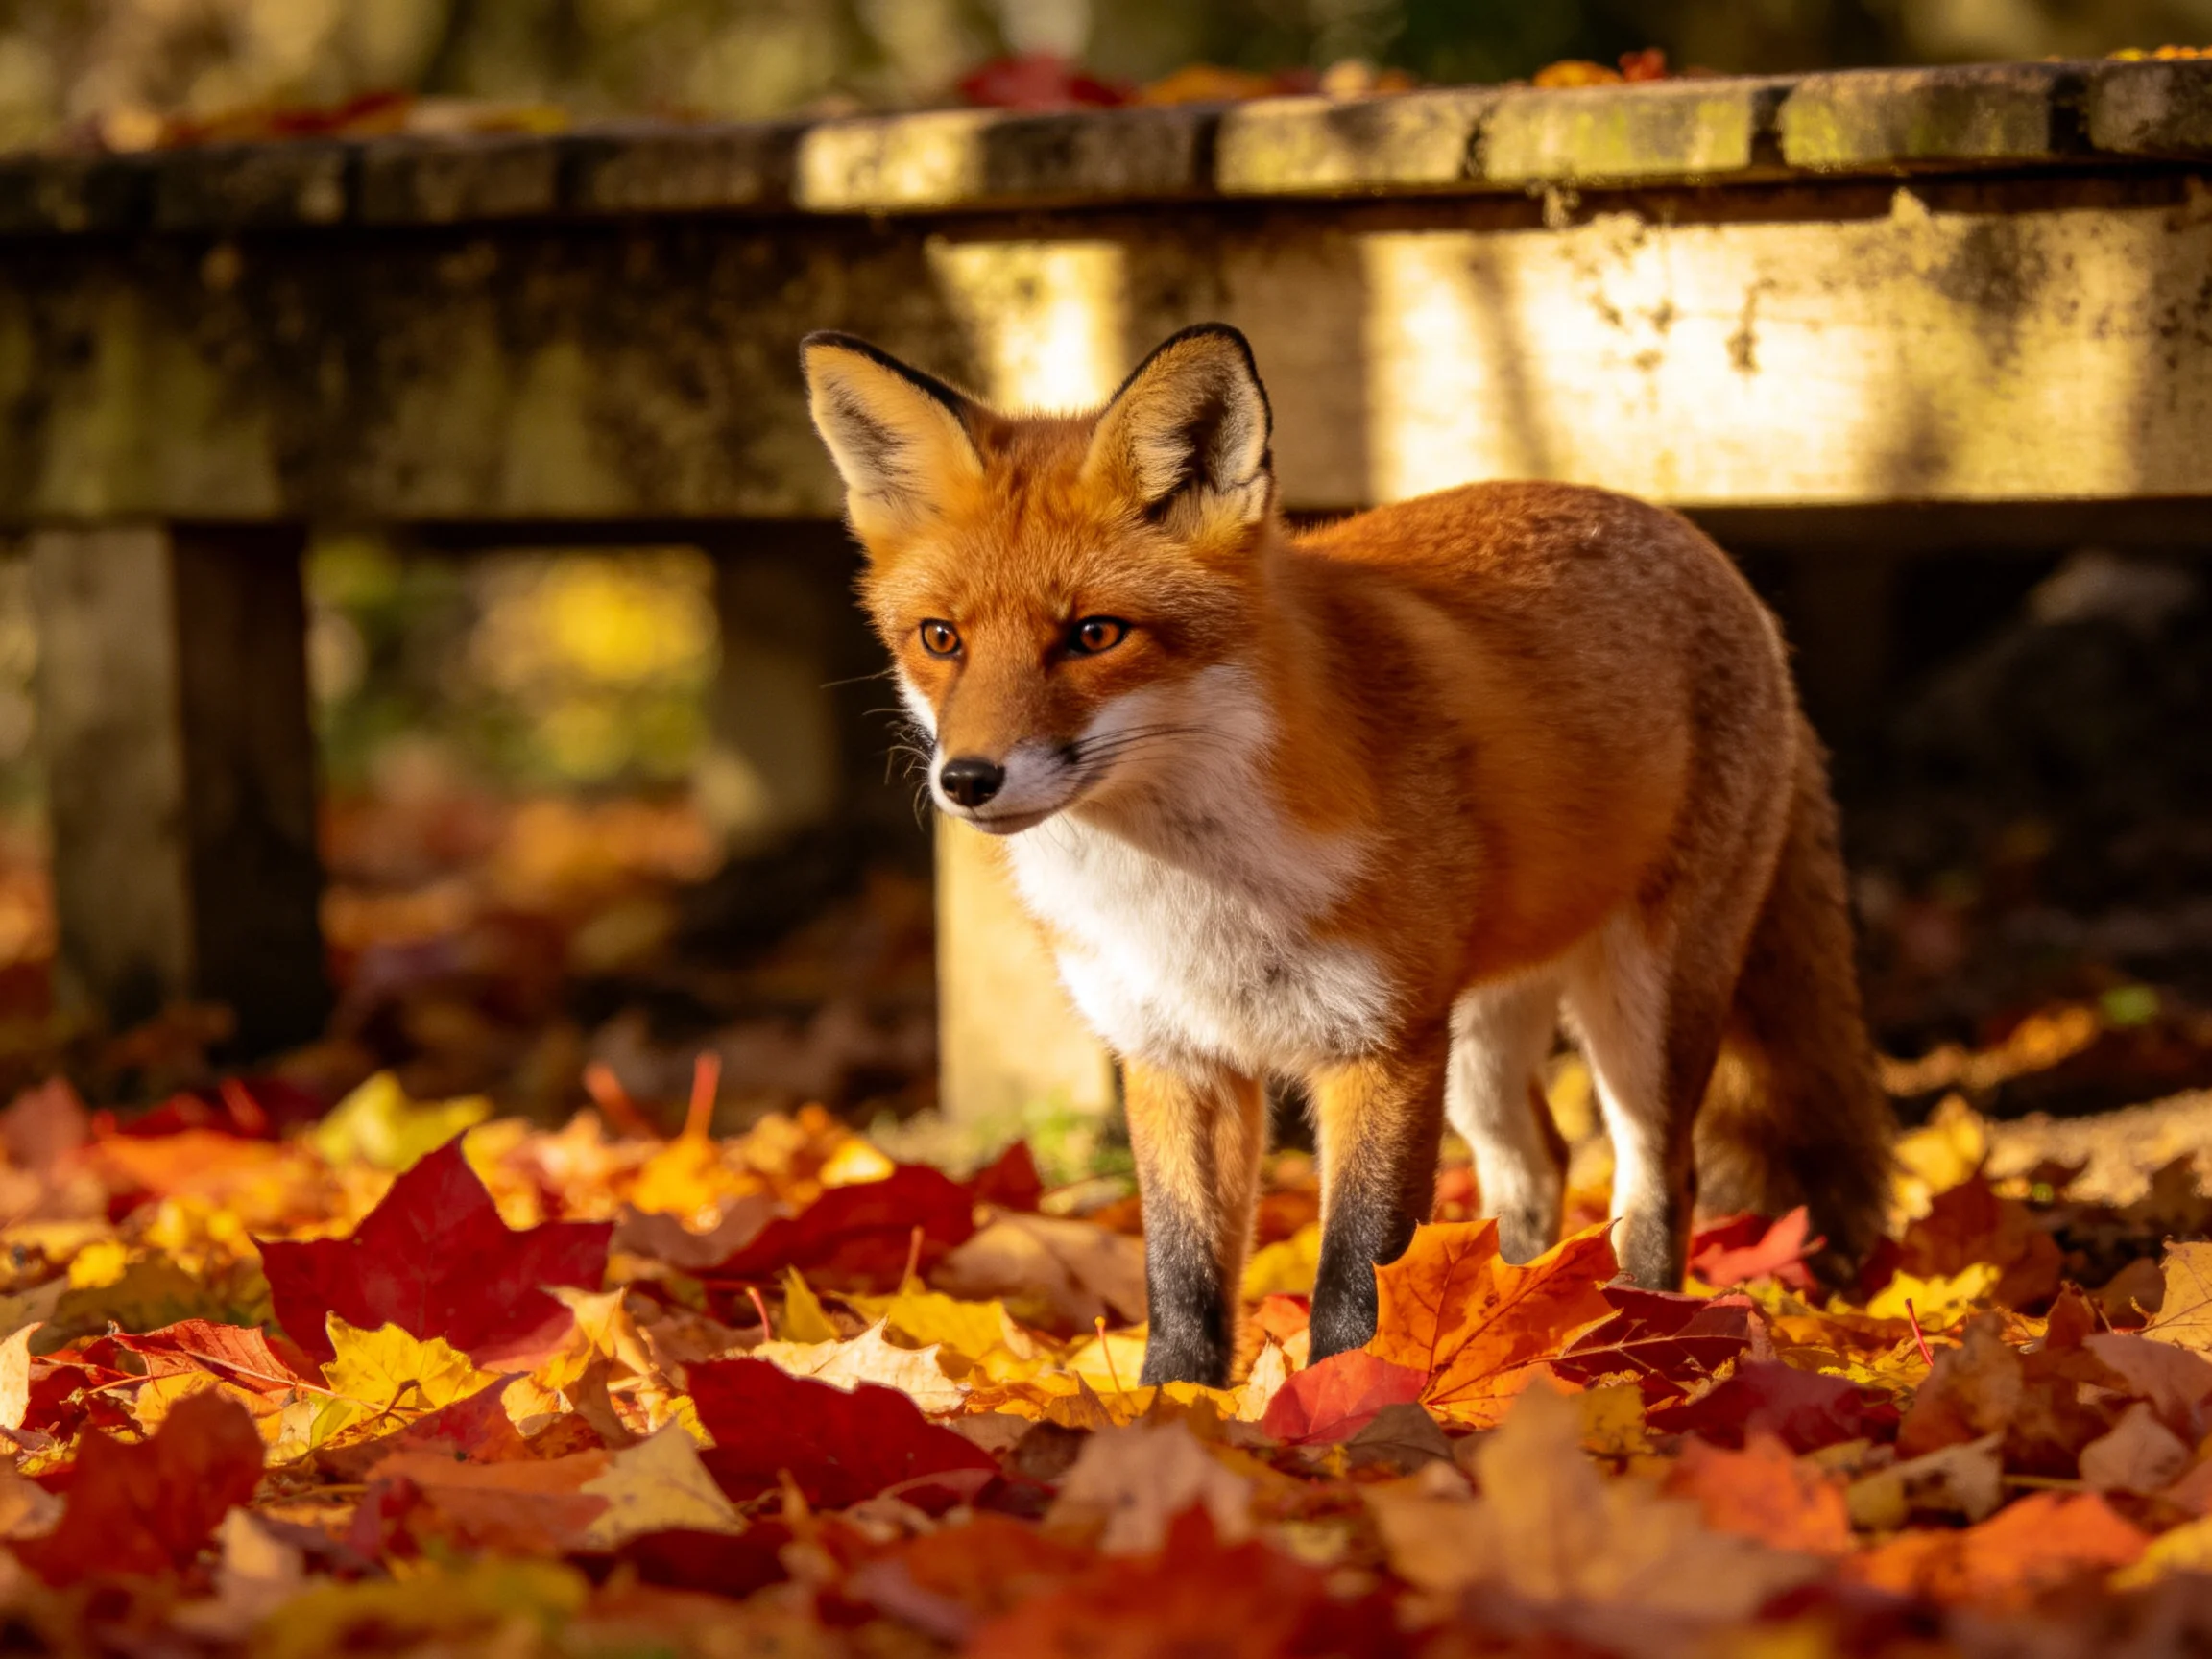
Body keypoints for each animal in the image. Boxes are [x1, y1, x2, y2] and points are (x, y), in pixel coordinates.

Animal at [800, 321, 1895, 1388]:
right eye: (940, 639)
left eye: (1095, 635)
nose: (967, 780)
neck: (1186, 891)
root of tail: (1703, 547)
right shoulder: (1173, 1053)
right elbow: (1184, 1279)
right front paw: (1170, 1414)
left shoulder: (1379, 1044)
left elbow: (1355, 1271)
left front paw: (1340, 1413)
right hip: (1480, 1042)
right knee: (1536, 1166)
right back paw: (1507, 1341)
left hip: (1639, 1009)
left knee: (1656, 1180)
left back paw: (1639, 1340)